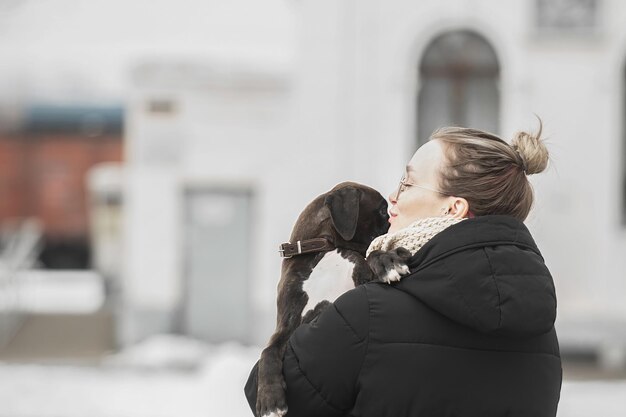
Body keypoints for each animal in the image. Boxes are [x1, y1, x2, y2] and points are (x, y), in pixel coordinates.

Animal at [254, 181, 410, 416]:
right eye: (383, 211)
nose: (393, 224)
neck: (323, 249)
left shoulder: (362, 279)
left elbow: (372, 256)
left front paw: (388, 261)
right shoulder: (288, 325)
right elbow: (268, 352)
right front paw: (269, 399)